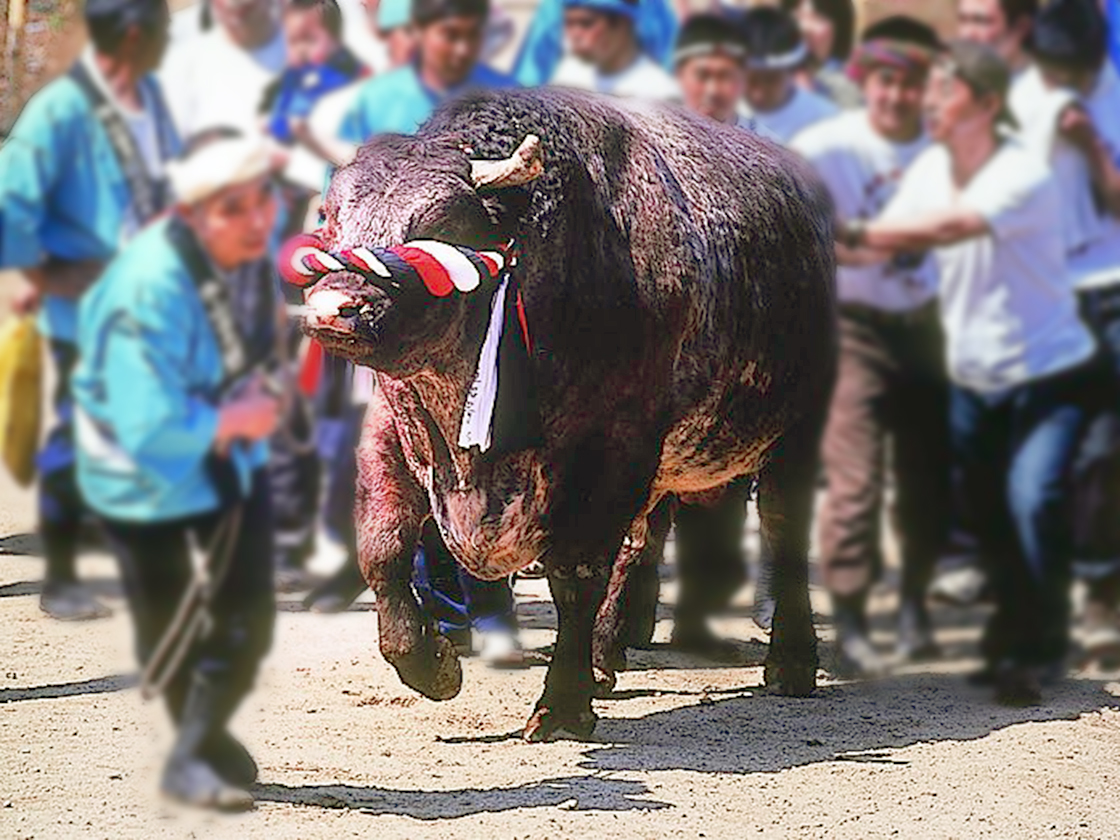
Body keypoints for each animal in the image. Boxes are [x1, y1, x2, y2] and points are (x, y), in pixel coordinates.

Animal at [295, 89, 833, 739]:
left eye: (440, 224)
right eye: (330, 218)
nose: (334, 309)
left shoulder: (610, 452)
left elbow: (576, 574)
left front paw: (562, 704)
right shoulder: (392, 432)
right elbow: (382, 548)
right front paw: (430, 663)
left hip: (793, 434)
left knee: (784, 530)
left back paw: (792, 661)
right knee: (644, 542)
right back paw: (607, 654)